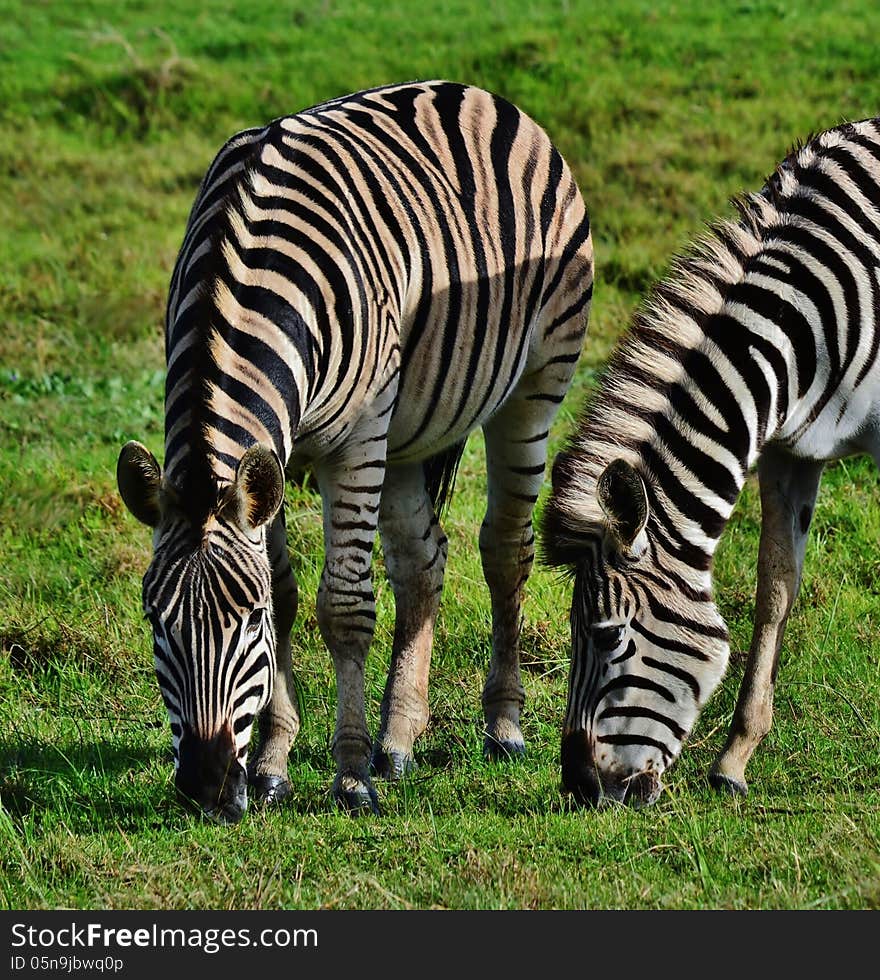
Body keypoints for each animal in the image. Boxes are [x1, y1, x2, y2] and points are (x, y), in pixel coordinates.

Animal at [117, 80, 596, 824]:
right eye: (153, 618)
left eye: (245, 619)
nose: (204, 784)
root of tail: (475, 92)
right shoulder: (277, 456)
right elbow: (289, 592)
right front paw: (272, 764)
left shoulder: (356, 438)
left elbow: (342, 606)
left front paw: (347, 777)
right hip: (406, 429)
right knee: (423, 560)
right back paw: (397, 741)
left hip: (535, 381)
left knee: (505, 548)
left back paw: (502, 724)